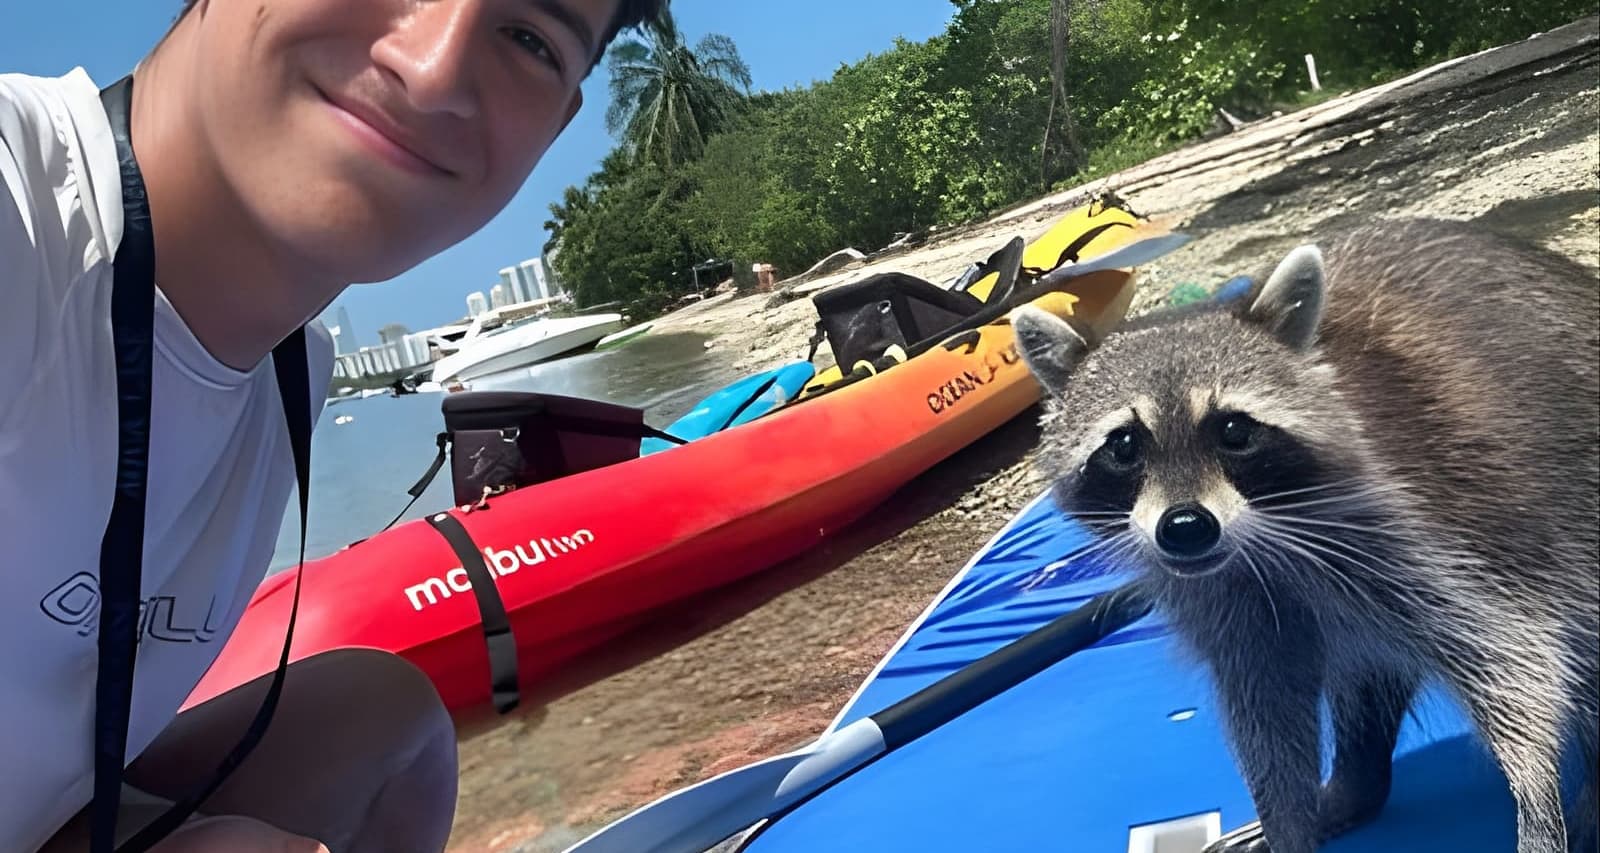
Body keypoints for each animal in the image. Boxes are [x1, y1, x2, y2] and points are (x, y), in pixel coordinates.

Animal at [1012, 218, 1599, 853]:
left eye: (1234, 431)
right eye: (1123, 446)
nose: (1186, 529)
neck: (1258, 546)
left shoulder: (1440, 529)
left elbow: (1519, 663)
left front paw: (1537, 800)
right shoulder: (1227, 604)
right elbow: (1267, 714)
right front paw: (1288, 819)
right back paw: (1356, 782)